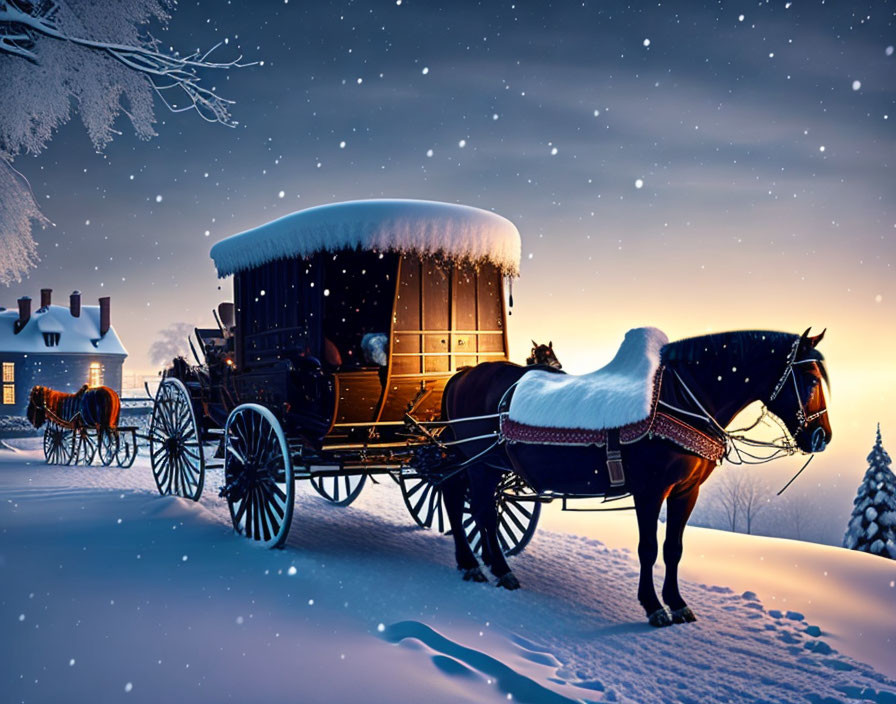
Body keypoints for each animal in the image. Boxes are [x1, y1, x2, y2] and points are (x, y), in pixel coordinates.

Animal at [440, 330, 832, 628]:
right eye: (811, 379)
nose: (822, 437)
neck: (678, 399)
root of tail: (463, 373)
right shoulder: (650, 490)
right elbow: (649, 549)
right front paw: (653, 605)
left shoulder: (686, 491)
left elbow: (674, 549)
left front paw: (677, 602)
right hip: (478, 463)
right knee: (478, 509)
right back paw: (493, 567)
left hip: (486, 465)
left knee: (466, 503)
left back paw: (478, 562)